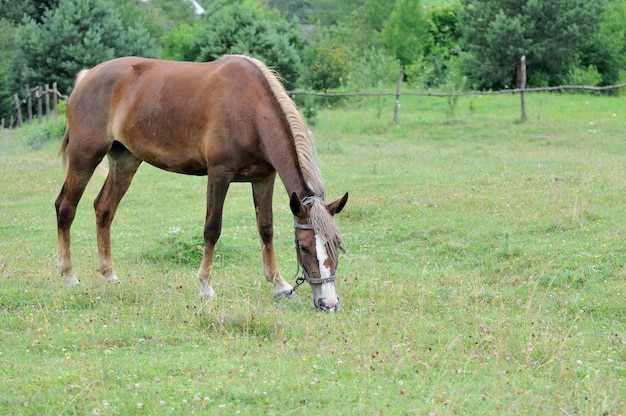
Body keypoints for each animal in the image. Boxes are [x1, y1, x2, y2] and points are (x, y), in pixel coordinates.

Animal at [53, 54, 346, 308]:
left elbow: (266, 228)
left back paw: (110, 274)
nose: (329, 303)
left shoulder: (264, 178)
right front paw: (206, 287)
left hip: (125, 160)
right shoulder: (219, 174)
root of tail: (86, 77)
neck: (251, 111)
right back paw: (69, 277)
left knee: (104, 209)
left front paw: (280, 285)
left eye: (336, 246)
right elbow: (212, 229)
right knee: (66, 207)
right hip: (85, 156)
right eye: (305, 248)